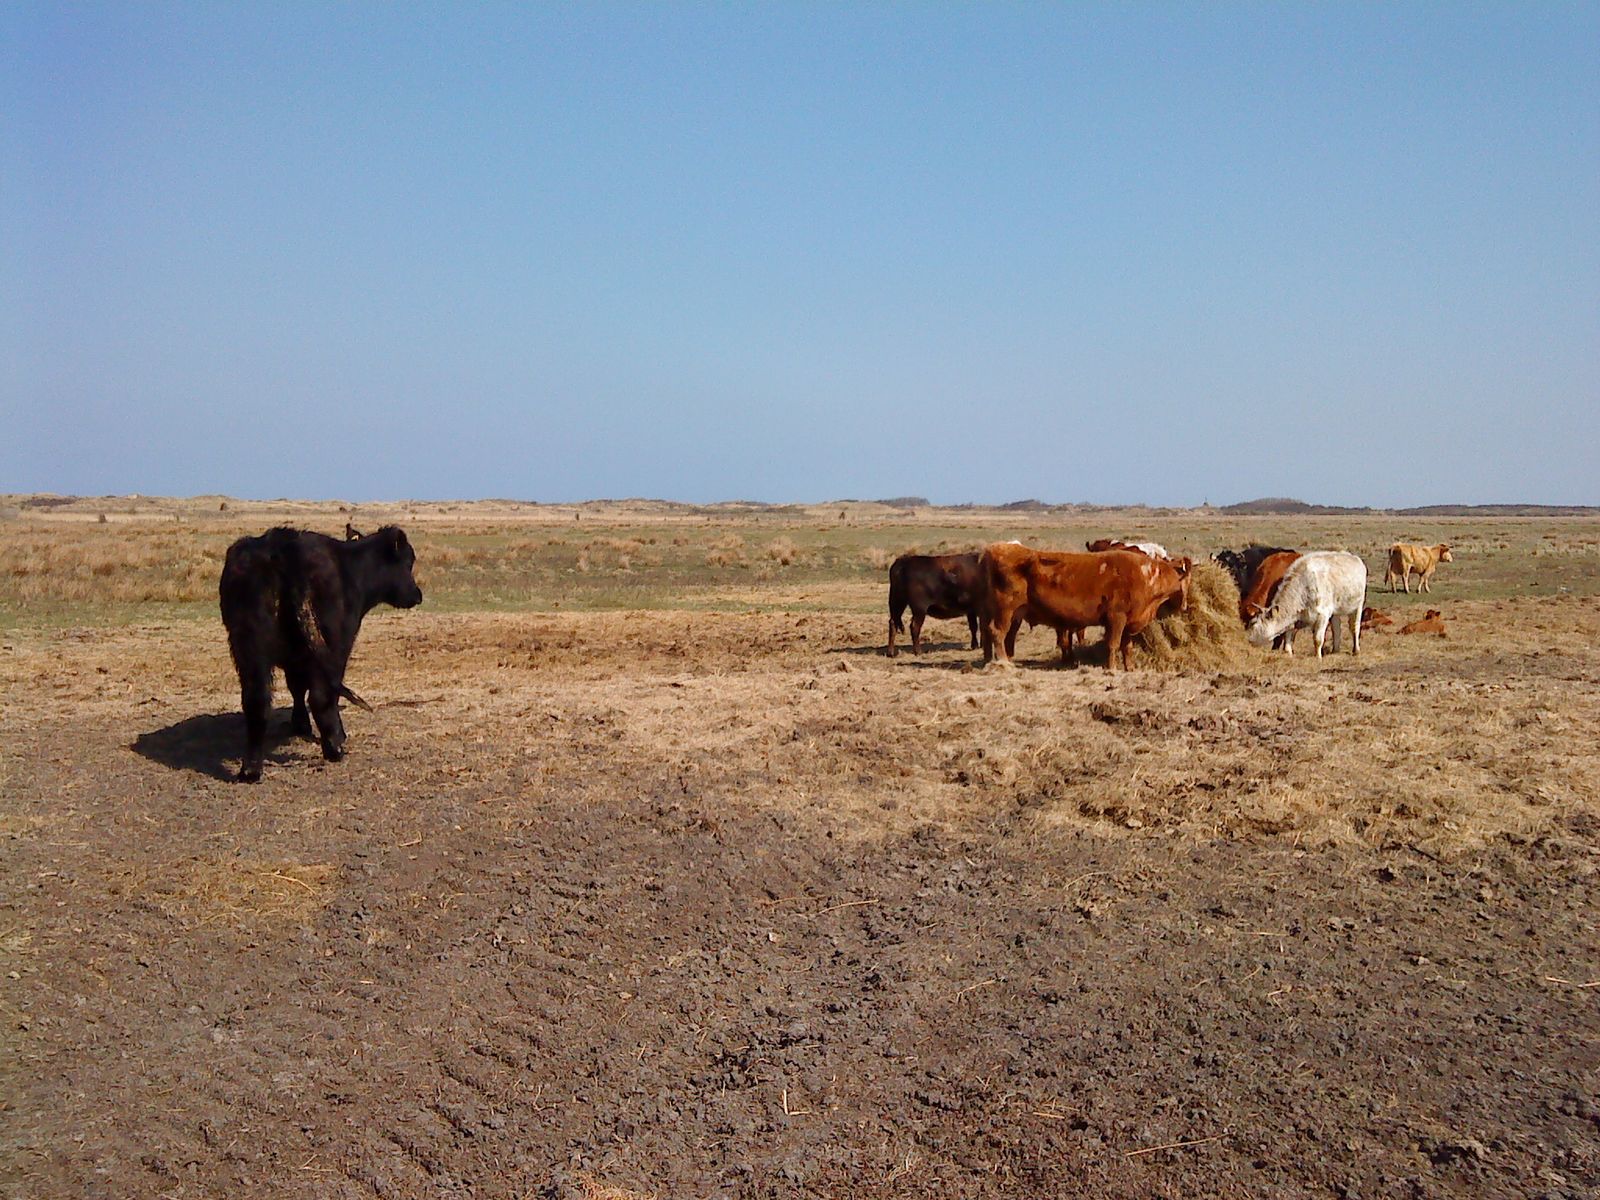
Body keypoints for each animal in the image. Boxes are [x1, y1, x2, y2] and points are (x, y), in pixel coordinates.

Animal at [219, 526, 422, 782]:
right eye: (407, 563)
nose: (417, 594)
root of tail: (281, 545)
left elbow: (296, 688)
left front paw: (300, 725)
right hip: (328, 644)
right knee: (320, 696)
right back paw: (334, 747)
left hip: (249, 648)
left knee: (256, 701)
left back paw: (251, 770)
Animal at [980, 543, 1192, 672]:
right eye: (1187, 581)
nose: (1184, 606)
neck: (1145, 575)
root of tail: (998, 548)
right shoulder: (1116, 618)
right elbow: (1113, 644)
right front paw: (1111, 669)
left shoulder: (1129, 621)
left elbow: (1127, 647)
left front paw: (1129, 668)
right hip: (1005, 610)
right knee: (997, 632)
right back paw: (1003, 663)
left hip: (1015, 614)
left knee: (1006, 636)